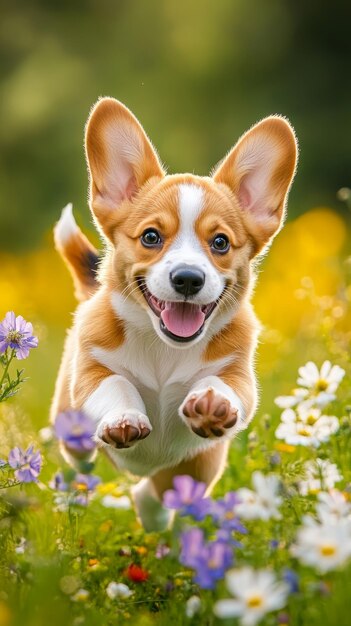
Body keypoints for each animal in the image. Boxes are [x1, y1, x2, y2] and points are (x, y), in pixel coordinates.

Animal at [52, 97, 298, 528]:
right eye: (151, 237)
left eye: (220, 243)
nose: (187, 279)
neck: (163, 347)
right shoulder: (91, 375)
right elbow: (117, 384)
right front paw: (124, 419)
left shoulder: (239, 377)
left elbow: (224, 386)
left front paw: (212, 405)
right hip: (67, 417)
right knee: (80, 454)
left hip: (197, 468)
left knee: (156, 492)